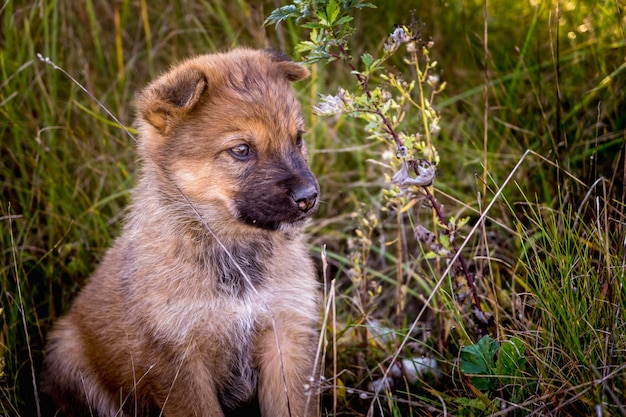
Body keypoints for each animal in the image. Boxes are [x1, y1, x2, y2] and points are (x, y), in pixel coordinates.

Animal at [41, 49, 320, 416]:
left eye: (298, 138)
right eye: (241, 150)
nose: (309, 197)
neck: (233, 251)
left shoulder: (287, 333)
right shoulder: (178, 357)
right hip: (67, 353)